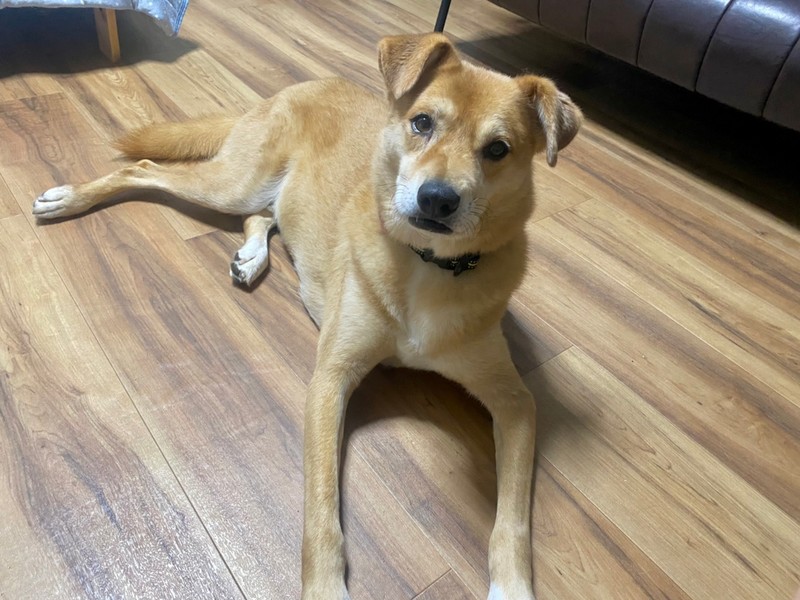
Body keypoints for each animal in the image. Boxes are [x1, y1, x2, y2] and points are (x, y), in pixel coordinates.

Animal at [33, 33, 581, 600]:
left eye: (498, 150)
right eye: (423, 122)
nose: (436, 199)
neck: (426, 263)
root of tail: (301, 86)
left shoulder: (515, 403)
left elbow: (512, 521)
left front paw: (512, 588)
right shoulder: (329, 380)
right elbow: (321, 509)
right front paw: (324, 586)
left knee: (261, 215)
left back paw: (251, 256)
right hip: (232, 182)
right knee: (144, 170)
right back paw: (70, 198)